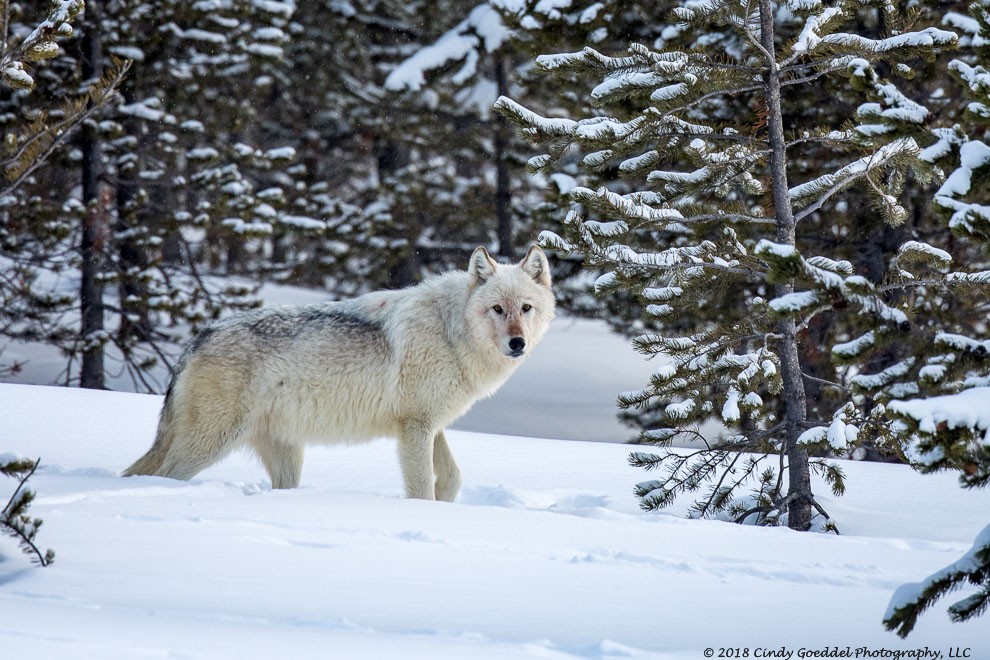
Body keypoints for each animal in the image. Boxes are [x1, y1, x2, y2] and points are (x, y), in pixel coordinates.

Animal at [121, 246, 556, 500]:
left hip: (286, 457)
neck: (451, 332)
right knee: (164, 475)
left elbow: (451, 478)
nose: (517, 343)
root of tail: (197, 339)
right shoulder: (414, 426)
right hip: (208, 446)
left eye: (526, 308)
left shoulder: (431, 424)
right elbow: (422, 487)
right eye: (497, 309)